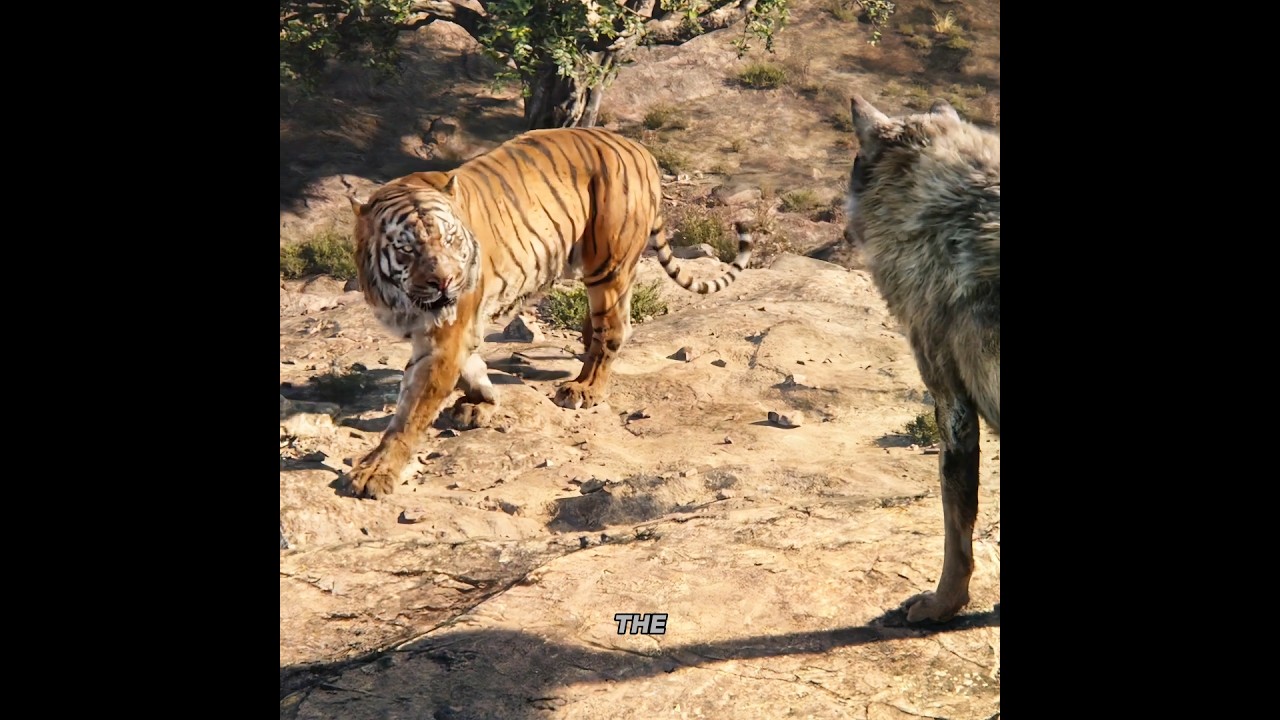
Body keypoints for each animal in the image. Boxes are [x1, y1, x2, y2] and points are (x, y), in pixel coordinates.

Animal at [345, 127, 753, 499]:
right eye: (407, 249)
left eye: (449, 239)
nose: (445, 282)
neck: (400, 295)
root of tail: (639, 148)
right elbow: (469, 367)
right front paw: (481, 403)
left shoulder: (445, 333)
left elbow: (410, 412)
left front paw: (376, 473)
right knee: (601, 327)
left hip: (608, 264)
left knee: (614, 328)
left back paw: (584, 388)